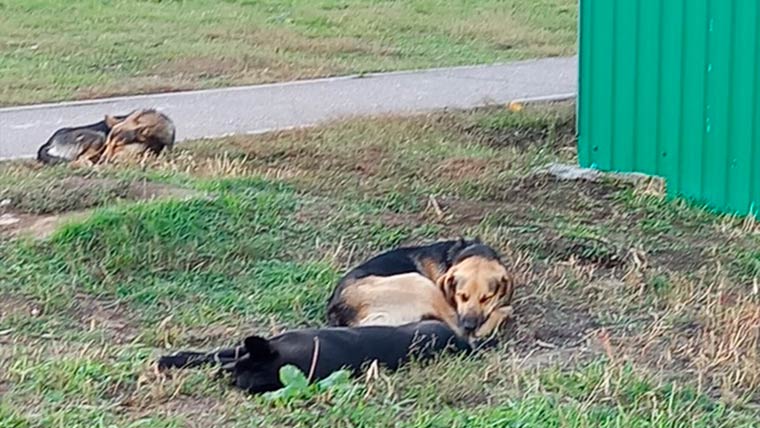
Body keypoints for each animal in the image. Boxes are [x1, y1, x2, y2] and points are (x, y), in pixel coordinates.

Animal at [326, 239, 516, 340]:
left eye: (486, 298)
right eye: (461, 296)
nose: (469, 325)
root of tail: (339, 310)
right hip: (423, 284)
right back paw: (504, 312)